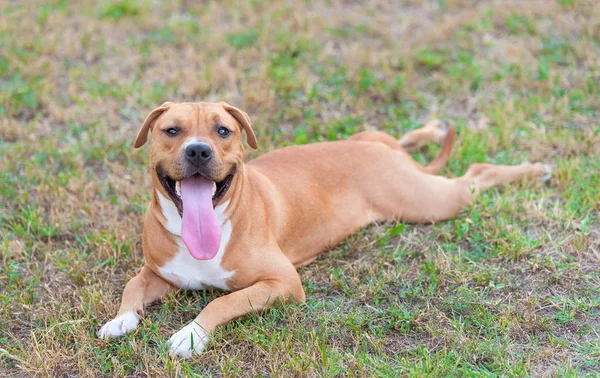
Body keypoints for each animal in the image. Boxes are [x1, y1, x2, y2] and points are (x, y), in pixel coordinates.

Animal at [96, 102, 552, 356]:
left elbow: (222, 302)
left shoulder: (282, 283)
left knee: (475, 173)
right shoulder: (158, 272)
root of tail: (374, 152)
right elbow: (132, 286)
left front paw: (190, 335)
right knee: (408, 142)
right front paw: (120, 321)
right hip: (386, 150)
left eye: (223, 130)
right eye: (171, 130)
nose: (197, 151)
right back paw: (431, 130)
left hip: (428, 203)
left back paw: (533, 169)